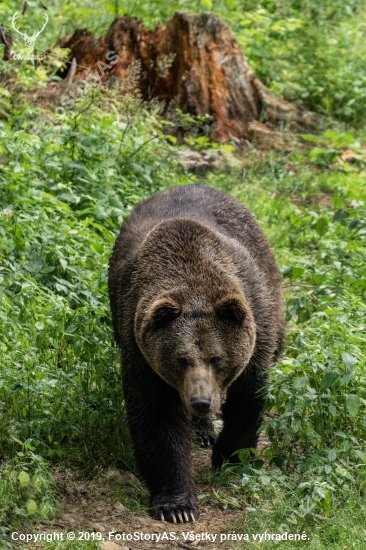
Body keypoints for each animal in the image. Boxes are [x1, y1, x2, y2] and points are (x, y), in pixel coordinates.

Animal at [107, 184, 284, 528]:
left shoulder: (255, 319)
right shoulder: (140, 346)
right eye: (180, 359)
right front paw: (177, 505)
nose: (200, 401)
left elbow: (248, 396)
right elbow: (157, 416)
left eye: (218, 359)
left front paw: (231, 457)